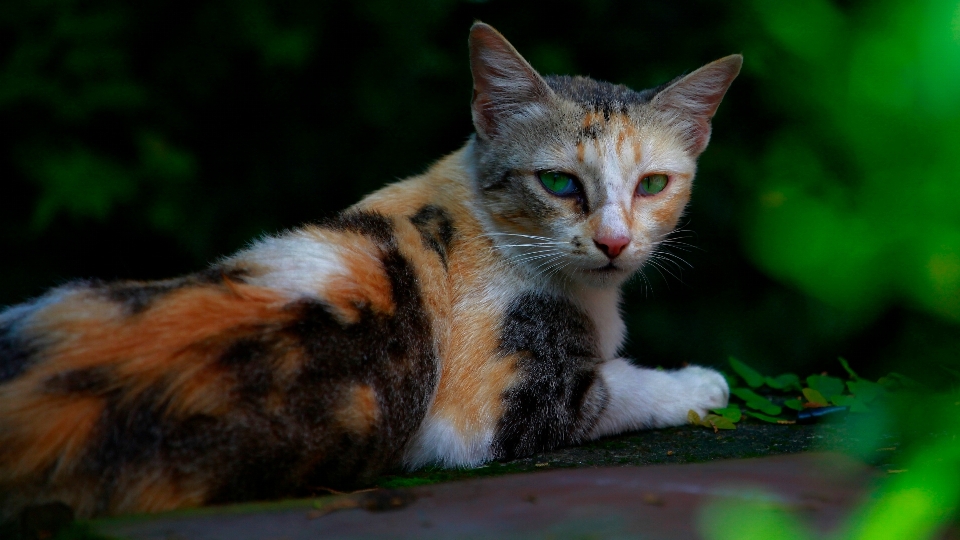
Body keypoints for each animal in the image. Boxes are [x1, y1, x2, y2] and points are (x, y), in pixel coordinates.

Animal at [0, 22, 744, 520]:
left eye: (652, 184)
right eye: (559, 182)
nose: (615, 241)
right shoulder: (487, 415)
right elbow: (615, 388)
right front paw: (699, 382)